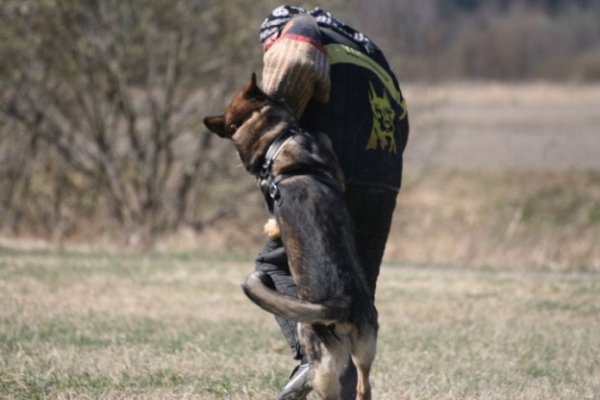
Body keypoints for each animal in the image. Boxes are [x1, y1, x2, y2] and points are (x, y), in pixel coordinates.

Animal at [204, 73, 378, 398]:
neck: (276, 141)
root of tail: (341, 304)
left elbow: (272, 218)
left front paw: (270, 227)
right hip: (366, 344)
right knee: (364, 384)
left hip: (320, 355)